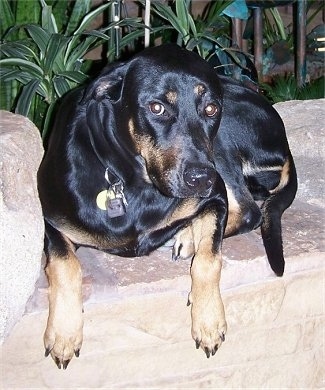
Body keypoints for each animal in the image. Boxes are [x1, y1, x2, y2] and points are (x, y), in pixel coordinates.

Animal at [37, 43, 296, 368]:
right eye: (157, 108)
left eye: (211, 109)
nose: (201, 178)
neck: (130, 179)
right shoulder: (52, 219)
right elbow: (66, 265)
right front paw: (64, 333)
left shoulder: (216, 196)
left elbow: (210, 258)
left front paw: (209, 320)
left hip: (223, 147)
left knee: (249, 211)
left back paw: (187, 236)